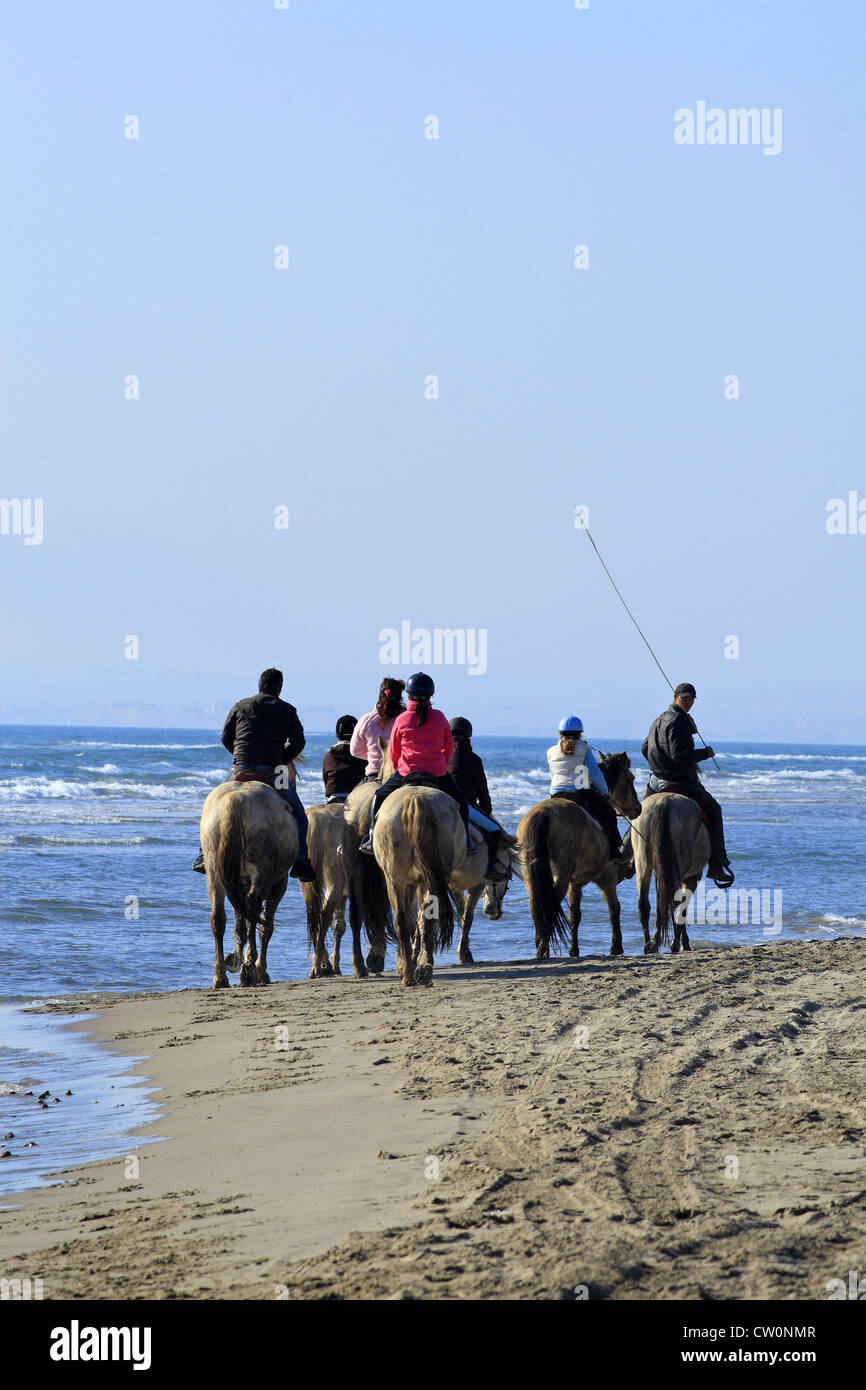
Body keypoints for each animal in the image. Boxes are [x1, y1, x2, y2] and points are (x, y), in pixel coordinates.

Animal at [201, 772, 323, 989]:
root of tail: (235, 802)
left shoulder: (237, 883)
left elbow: (239, 920)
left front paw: (235, 957)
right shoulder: (278, 884)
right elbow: (265, 926)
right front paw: (258, 969)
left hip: (214, 870)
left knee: (218, 917)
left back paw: (220, 976)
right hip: (262, 874)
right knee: (254, 910)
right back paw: (250, 969)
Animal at [514, 756, 644, 961]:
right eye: (630, 779)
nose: (638, 808)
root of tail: (542, 814)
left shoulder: (574, 883)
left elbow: (575, 914)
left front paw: (574, 950)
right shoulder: (607, 878)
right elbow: (614, 909)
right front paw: (616, 947)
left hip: (532, 877)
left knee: (537, 906)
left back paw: (541, 947)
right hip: (560, 875)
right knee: (549, 905)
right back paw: (543, 949)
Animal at [631, 795, 711, 956]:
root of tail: (663, 804)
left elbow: (661, 905)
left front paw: (656, 940)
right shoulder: (692, 877)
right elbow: (682, 907)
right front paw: (684, 943)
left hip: (643, 865)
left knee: (644, 905)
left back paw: (648, 945)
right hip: (677, 871)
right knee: (676, 903)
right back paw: (674, 944)